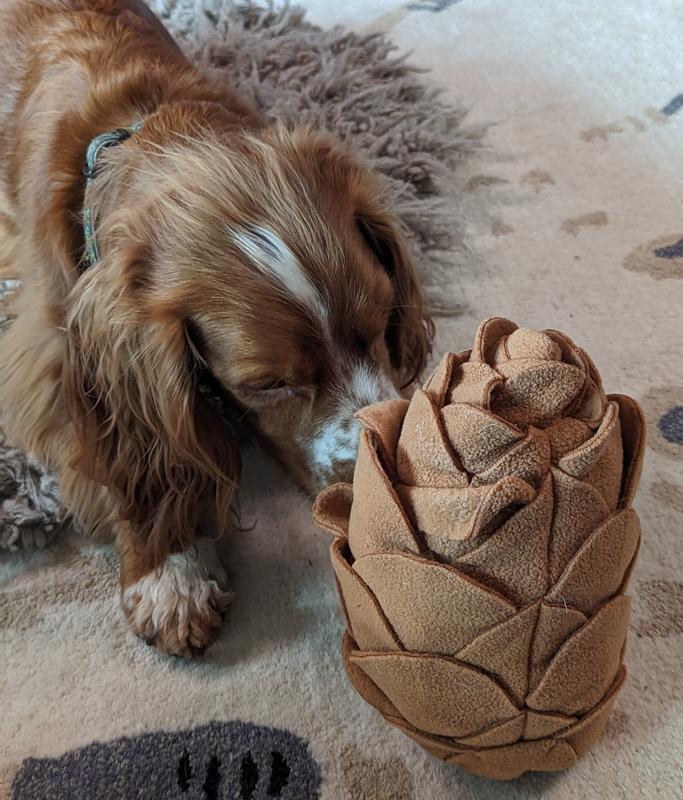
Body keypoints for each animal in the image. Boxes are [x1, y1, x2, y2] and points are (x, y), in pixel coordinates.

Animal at [0, 0, 432, 656]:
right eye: (268, 384)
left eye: (383, 324)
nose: (381, 486)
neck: (143, 129)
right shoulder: (55, 354)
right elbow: (133, 459)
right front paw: (168, 570)